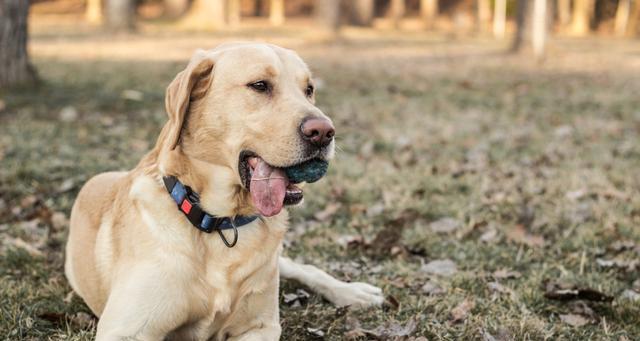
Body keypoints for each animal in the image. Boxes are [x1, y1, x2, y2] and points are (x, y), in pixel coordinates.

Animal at [63, 43, 384, 340]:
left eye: (309, 90)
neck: (220, 222)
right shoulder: (125, 329)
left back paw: (354, 292)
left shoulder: (261, 326)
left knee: (302, 268)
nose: (324, 132)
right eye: (260, 85)